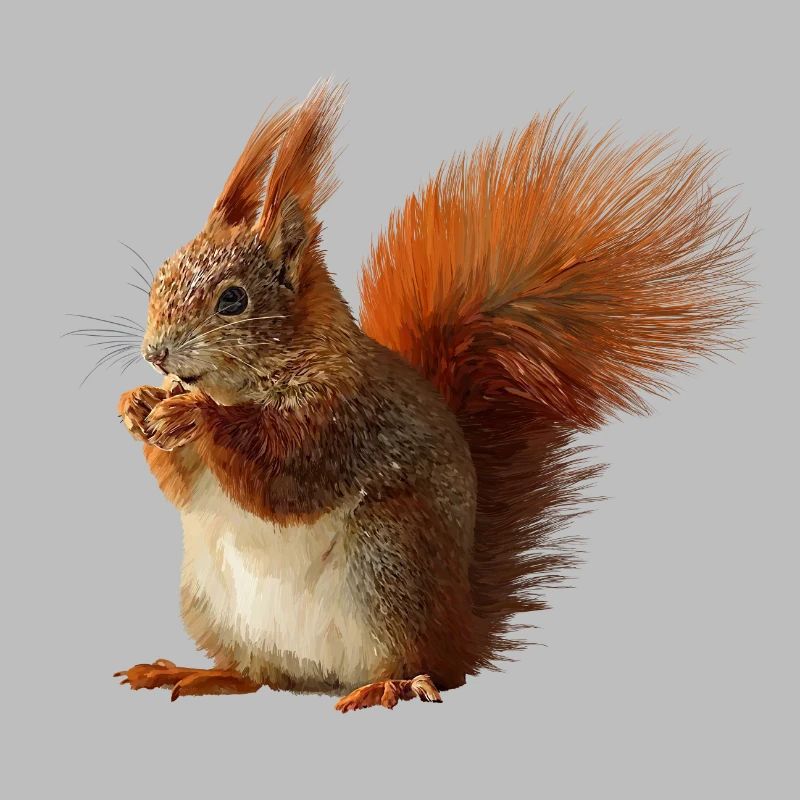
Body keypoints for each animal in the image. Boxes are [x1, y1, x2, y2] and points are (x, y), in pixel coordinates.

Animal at [111, 82, 749, 711]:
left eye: (233, 300)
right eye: (163, 272)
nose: (155, 353)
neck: (248, 384)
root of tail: (462, 628)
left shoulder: (342, 421)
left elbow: (281, 475)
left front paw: (195, 414)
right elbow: (181, 486)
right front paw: (138, 404)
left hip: (389, 561)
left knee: (428, 668)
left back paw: (389, 685)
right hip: (212, 600)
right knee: (260, 674)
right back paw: (198, 673)